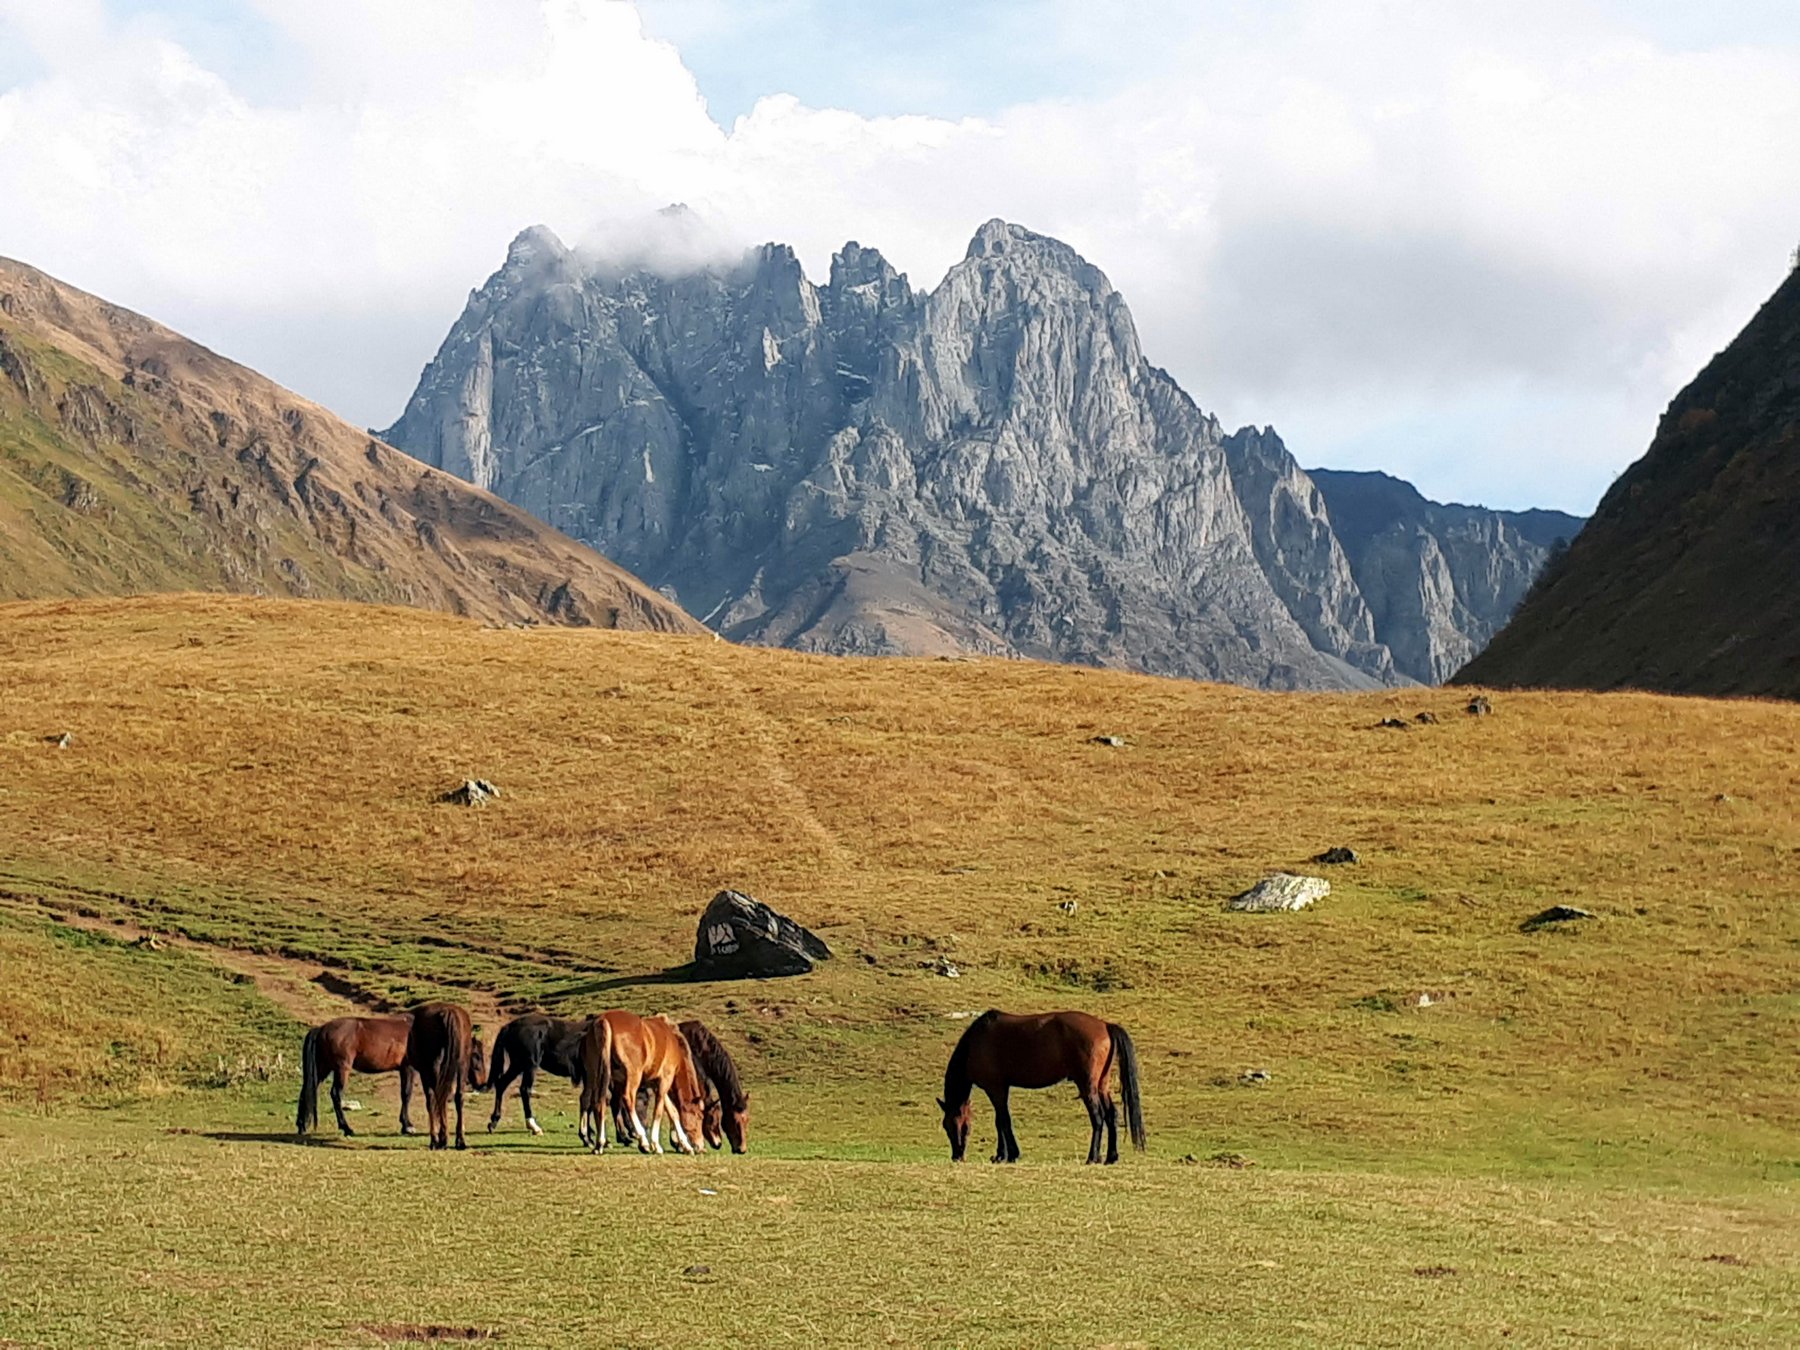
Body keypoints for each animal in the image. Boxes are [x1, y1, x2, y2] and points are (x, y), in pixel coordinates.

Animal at [404, 1002, 487, 1150]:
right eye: (477, 1055)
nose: (483, 1083)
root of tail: (448, 1012)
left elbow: (433, 1102)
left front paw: (437, 1137)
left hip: (433, 1070)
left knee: (437, 1098)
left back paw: (440, 1139)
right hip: (459, 1067)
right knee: (457, 1097)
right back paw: (459, 1140)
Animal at [577, 1010, 706, 1155]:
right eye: (700, 1117)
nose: (701, 1146)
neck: (673, 1041)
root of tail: (604, 1021)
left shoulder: (656, 1084)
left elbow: (673, 1112)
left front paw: (686, 1146)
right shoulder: (665, 1080)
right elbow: (659, 1111)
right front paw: (656, 1144)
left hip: (595, 1076)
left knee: (597, 1102)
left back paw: (599, 1143)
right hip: (633, 1076)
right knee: (628, 1100)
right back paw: (643, 1141)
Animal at [938, 1010, 1145, 1164]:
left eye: (953, 1125)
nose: (957, 1156)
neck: (976, 1042)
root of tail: (1105, 1025)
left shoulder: (995, 1089)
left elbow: (1003, 1121)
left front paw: (1009, 1154)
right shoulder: (1001, 1089)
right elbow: (1000, 1121)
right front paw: (1002, 1155)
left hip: (1087, 1087)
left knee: (1098, 1118)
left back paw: (1092, 1157)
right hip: (1102, 1086)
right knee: (1111, 1115)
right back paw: (1111, 1157)